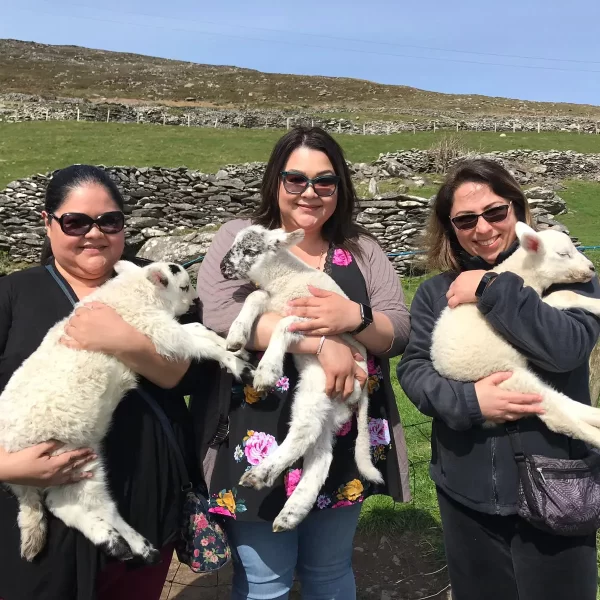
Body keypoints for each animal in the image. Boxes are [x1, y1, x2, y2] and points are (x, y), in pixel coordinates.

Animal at [0, 262, 253, 564]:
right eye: (183, 286)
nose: (196, 302)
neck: (136, 292)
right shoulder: (152, 327)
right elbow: (196, 341)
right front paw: (236, 363)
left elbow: (196, 329)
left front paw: (234, 348)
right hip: (65, 455)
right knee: (96, 505)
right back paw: (139, 547)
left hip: (68, 461)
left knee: (62, 503)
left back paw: (114, 543)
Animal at [220, 224, 384, 528]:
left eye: (250, 250)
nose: (223, 268)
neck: (286, 278)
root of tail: (362, 389)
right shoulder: (271, 301)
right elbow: (253, 297)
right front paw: (236, 336)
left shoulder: (313, 318)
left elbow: (284, 325)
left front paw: (267, 370)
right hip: (324, 400)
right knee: (321, 455)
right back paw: (290, 514)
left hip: (319, 388)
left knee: (303, 434)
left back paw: (260, 475)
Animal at [432, 221, 600, 446]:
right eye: (563, 254)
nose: (591, 269)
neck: (525, 274)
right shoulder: (536, 301)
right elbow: (565, 295)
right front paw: (598, 305)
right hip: (511, 381)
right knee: (558, 416)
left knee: (562, 401)